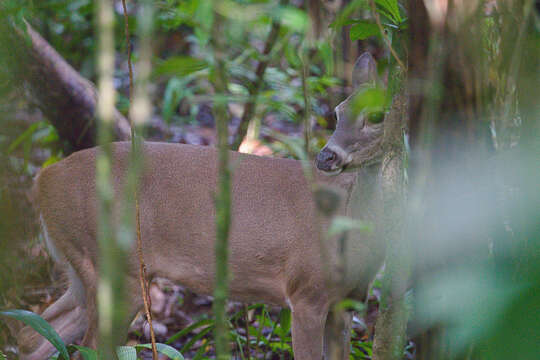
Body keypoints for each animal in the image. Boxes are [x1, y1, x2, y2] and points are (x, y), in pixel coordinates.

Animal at [16, 52, 388, 358]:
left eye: (377, 115)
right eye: (338, 113)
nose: (326, 157)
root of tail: (44, 178)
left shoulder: (347, 302)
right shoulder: (307, 291)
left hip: (82, 264)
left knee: (36, 333)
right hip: (112, 261)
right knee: (91, 344)